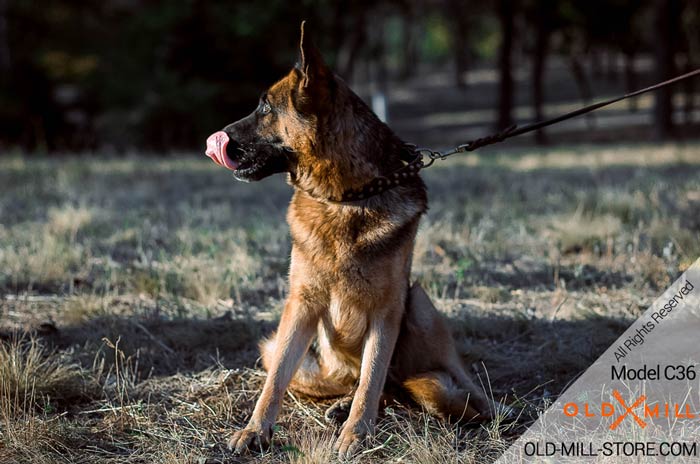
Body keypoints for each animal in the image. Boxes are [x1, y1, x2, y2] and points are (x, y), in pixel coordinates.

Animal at [205, 20, 494, 456]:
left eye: (266, 108)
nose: (215, 137)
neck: (345, 199)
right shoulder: (300, 306)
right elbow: (275, 381)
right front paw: (255, 429)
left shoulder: (387, 313)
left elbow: (371, 381)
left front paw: (357, 434)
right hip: (297, 355)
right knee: (365, 386)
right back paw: (343, 404)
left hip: (419, 303)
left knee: (436, 391)